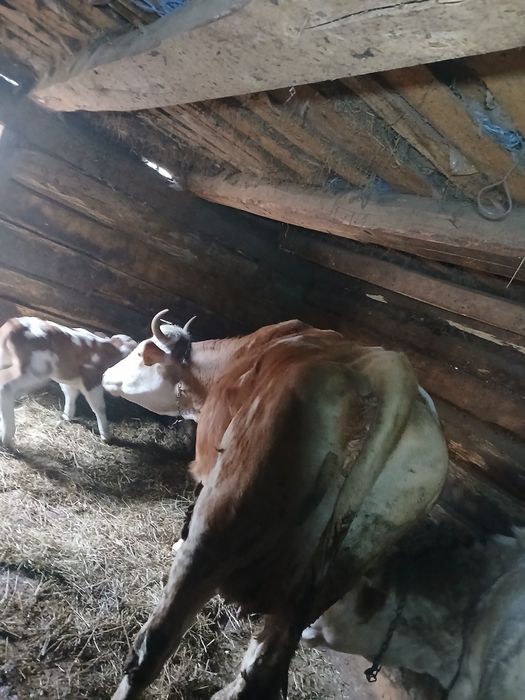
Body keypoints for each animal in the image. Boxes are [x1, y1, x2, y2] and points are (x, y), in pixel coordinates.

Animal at [0, 316, 137, 448]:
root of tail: (12, 326)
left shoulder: (69, 378)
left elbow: (70, 395)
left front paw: (67, 416)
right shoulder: (92, 380)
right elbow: (99, 407)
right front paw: (106, 435)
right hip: (33, 370)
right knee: (5, 385)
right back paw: (7, 437)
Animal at [103, 309, 449, 700]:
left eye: (140, 355)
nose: (106, 374)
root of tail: (388, 369)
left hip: (222, 521)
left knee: (155, 644)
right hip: (337, 571)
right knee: (260, 666)